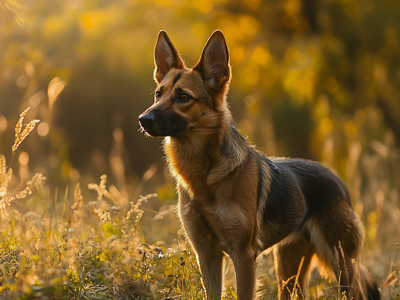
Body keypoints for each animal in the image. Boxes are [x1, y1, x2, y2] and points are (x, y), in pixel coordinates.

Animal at [139, 31, 380, 300]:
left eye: (183, 97)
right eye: (158, 94)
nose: (143, 120)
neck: (205, 175)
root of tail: (339, 182)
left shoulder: (243, 256)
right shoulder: (207, 254)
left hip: (340, 266)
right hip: (288, 272)